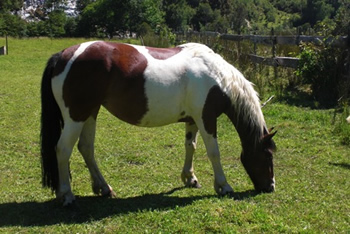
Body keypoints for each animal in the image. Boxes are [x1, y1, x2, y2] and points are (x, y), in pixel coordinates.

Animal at [40, 41, 276, 206]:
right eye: (268, 156)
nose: (271, 187)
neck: (217, 77)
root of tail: (63, 56)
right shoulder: (206, 118)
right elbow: (213, 153)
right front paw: (223, 186)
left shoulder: (193, 120)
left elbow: (191, 146)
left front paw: (190, 179)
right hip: (76, 116)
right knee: (63, 149)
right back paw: (67, 195)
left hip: (90, 113)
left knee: (86, 148)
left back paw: (104, 188)